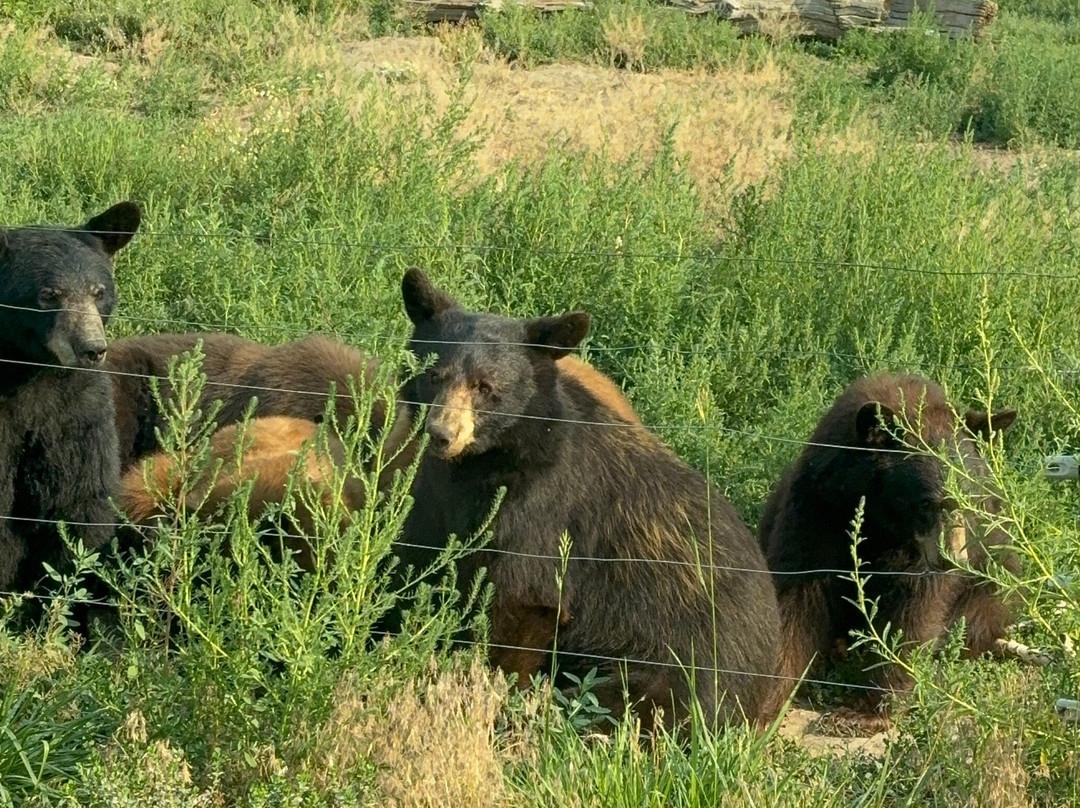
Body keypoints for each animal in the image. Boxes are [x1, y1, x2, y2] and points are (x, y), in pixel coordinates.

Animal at [0, 201, 141, 606]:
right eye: (49, 294)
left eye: (98, 291)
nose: (92, 349)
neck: (28, 372)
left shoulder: (77, 408)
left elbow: (81, 497)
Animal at [385, 267, 781, 733]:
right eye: (434, 375)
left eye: (485, 387)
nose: (442, 434)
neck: (486, 462)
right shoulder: (437, 495)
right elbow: (414, 557)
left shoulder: (541, 509)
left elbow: (523, 599)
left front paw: (498, 696)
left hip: (673, 667)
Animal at [758, 372, 1019, 716]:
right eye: (927, 502)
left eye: (970, 498)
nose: (952, 559)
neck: (879, 519)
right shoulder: (817, 508)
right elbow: (798, 595)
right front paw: (767, 700)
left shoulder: (917, 551)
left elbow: (915, 609)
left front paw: (870, 707)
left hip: (996, 576)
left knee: (976, 617)